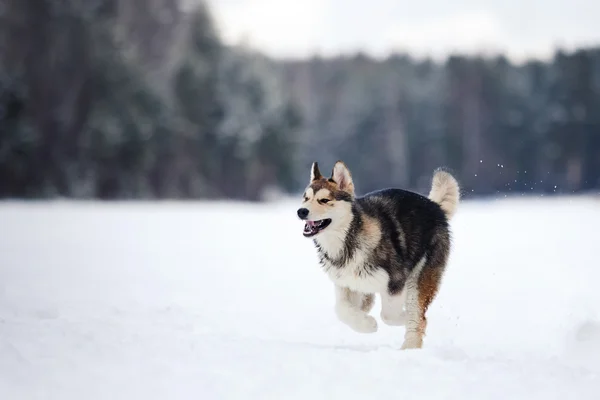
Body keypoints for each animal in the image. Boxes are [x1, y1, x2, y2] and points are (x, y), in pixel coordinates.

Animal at [298, 161, 460, 348]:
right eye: (306, 198)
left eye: (324, 200)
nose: (301, 211)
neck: (347, 240)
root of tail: (435, 206)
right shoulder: (345, 284)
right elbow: (341, 310)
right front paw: (366, 324)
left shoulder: (396, 281)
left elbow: (389, 315)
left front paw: (400, 318)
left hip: (420, 276)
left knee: (418, 315)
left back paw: (410, 347)